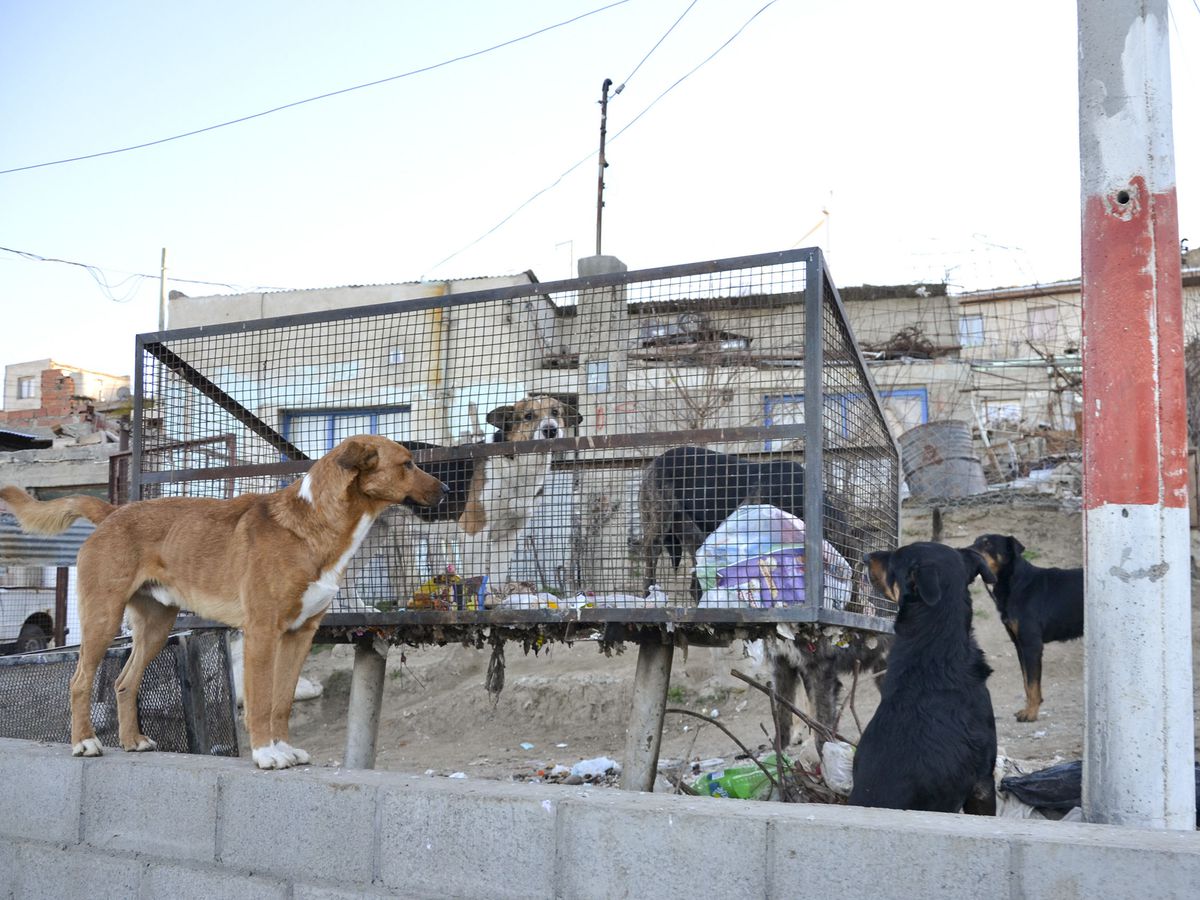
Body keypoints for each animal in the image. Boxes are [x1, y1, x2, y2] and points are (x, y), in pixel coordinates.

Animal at [0, 434, 446, 768]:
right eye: (408, 463)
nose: (445, 489)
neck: (313, 525)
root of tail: (112, 511)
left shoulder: (300, 636)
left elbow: (282, 703)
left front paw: (284, 748)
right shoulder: (262, 632)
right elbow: (261, 703)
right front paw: (266, 754)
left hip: (155, 628)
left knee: (125, 683)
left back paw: (132, 741)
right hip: (102, 619)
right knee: (79, 681)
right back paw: (85, 743)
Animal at [964, 535, 1089, 724]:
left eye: (988, 543)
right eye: (975, 541)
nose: (964, 551)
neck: (1014, 584)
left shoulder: (1031, 645)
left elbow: (1032, 683)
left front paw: (1031, 713)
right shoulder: (1019, 645)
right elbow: (1026, 682)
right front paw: (1027, 709)